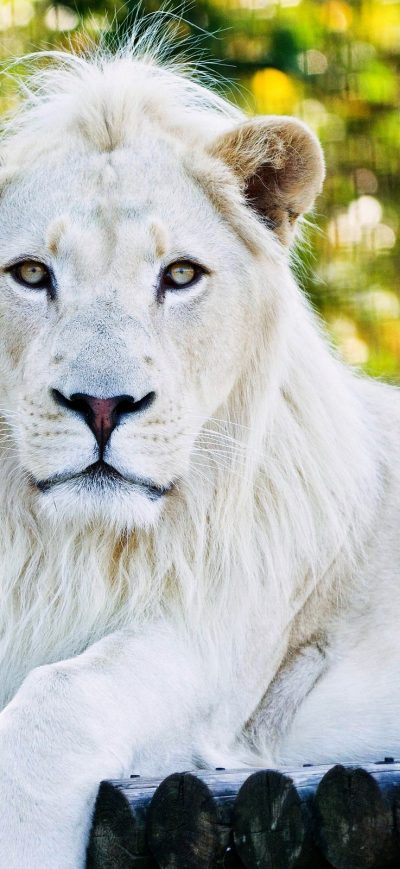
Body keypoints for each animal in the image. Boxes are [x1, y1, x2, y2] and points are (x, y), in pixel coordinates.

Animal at [0, 28, 399, 868]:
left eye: (180, 274)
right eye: (30, 273)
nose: (104, 405)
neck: (61, 547)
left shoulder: (217, 642)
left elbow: (63, 695)